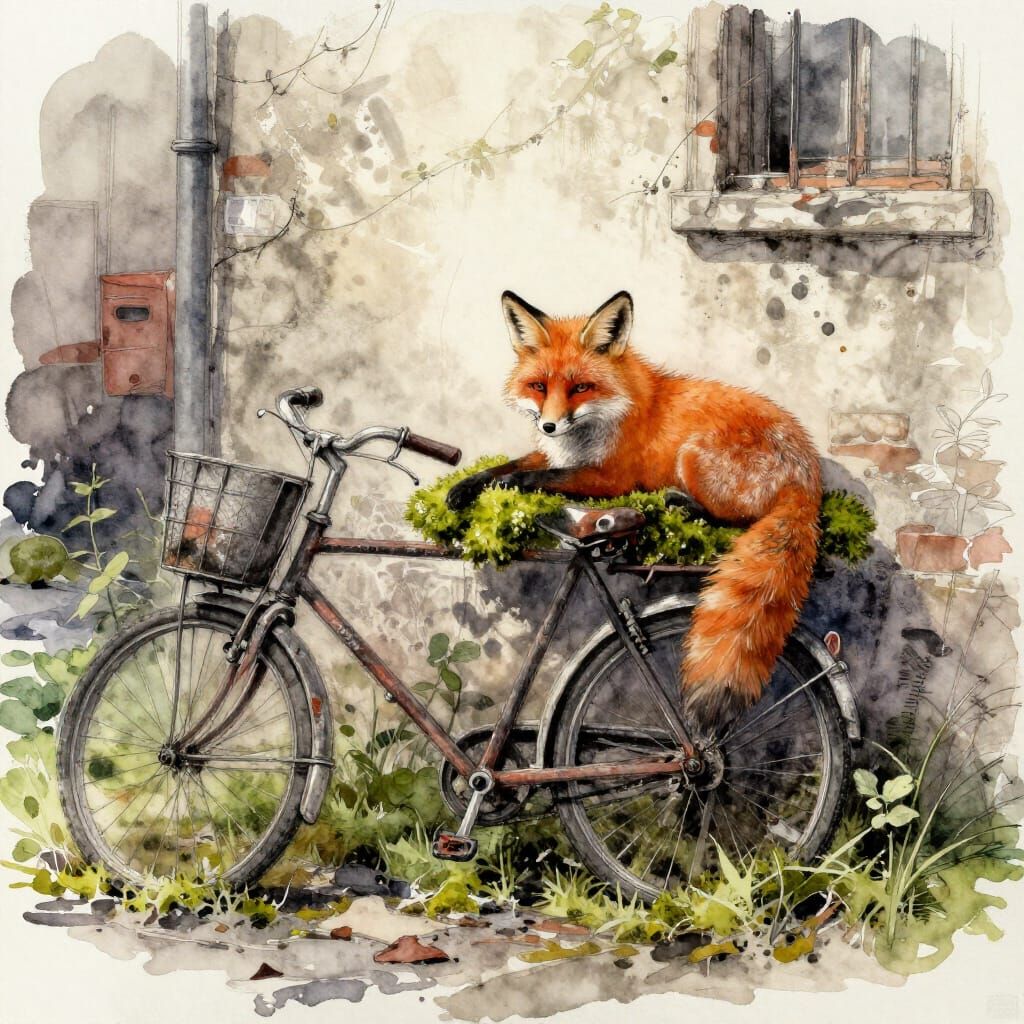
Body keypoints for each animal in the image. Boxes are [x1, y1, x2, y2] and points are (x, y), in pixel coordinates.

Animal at [446, 289, 823, 730]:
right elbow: (509, 466)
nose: (549, 427)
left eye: (581, 387)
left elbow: (533, 477)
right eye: (539, 386)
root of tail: (808, 475)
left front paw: (503, 486)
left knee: (735, 519)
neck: (604, 419)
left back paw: (679, 503)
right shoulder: (556, 454)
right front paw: (463, 488)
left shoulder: (610, 478)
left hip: (692, 456)